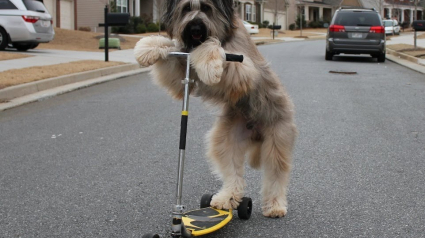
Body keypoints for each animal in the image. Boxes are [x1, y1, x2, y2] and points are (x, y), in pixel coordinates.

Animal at [134, 0, 296, 218]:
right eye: (186, 8)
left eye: (206, 7)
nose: (195, 28)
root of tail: (256, 134)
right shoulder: (181, 69)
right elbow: (171, 49)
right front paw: (147, 48)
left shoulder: (243, 68)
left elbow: (212, 47)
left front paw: (209, 64)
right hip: (227, 139)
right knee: (233, 173)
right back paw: (225, 199)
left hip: (277, 139)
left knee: (275, 175)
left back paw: (275, 205)